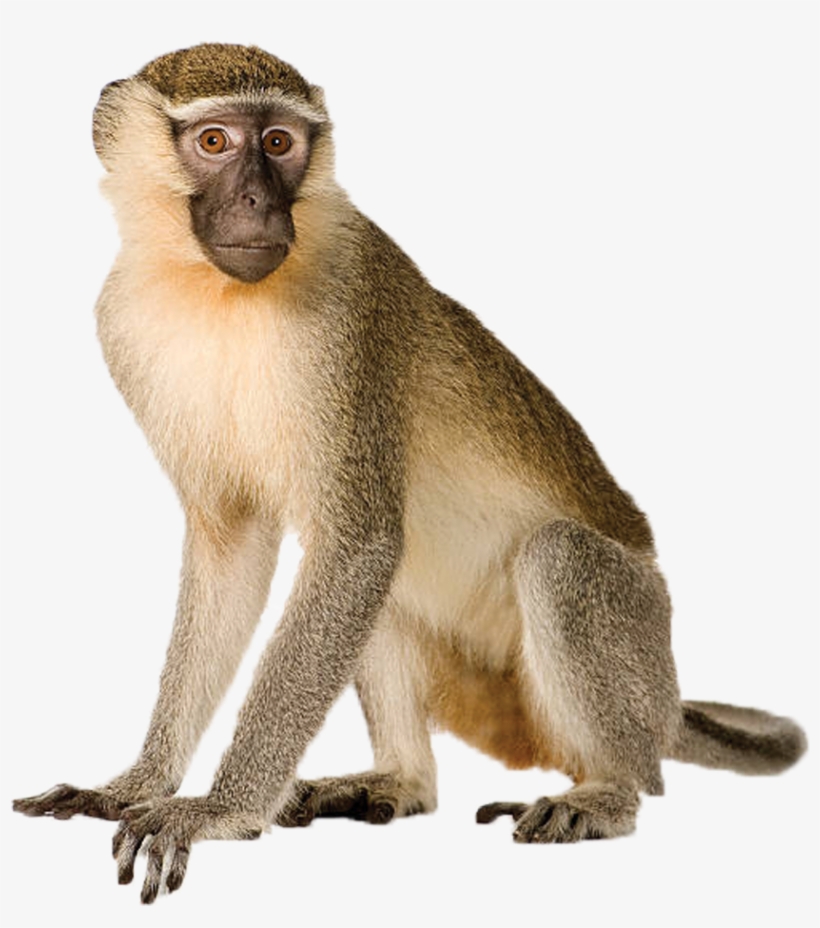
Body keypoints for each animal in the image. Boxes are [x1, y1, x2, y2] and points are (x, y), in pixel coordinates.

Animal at [12, 44, 806, 904]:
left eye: (281, 143)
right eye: (216, 142)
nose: (258, 200)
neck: (213, 290)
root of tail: (664, 702)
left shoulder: (345, 314)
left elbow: (357, 544)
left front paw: (217, 810)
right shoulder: (121, 323)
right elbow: (237, 549)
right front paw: (135, 784)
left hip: (636, 635)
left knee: (553, 559)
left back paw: (609, 790)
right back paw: (401, 779)